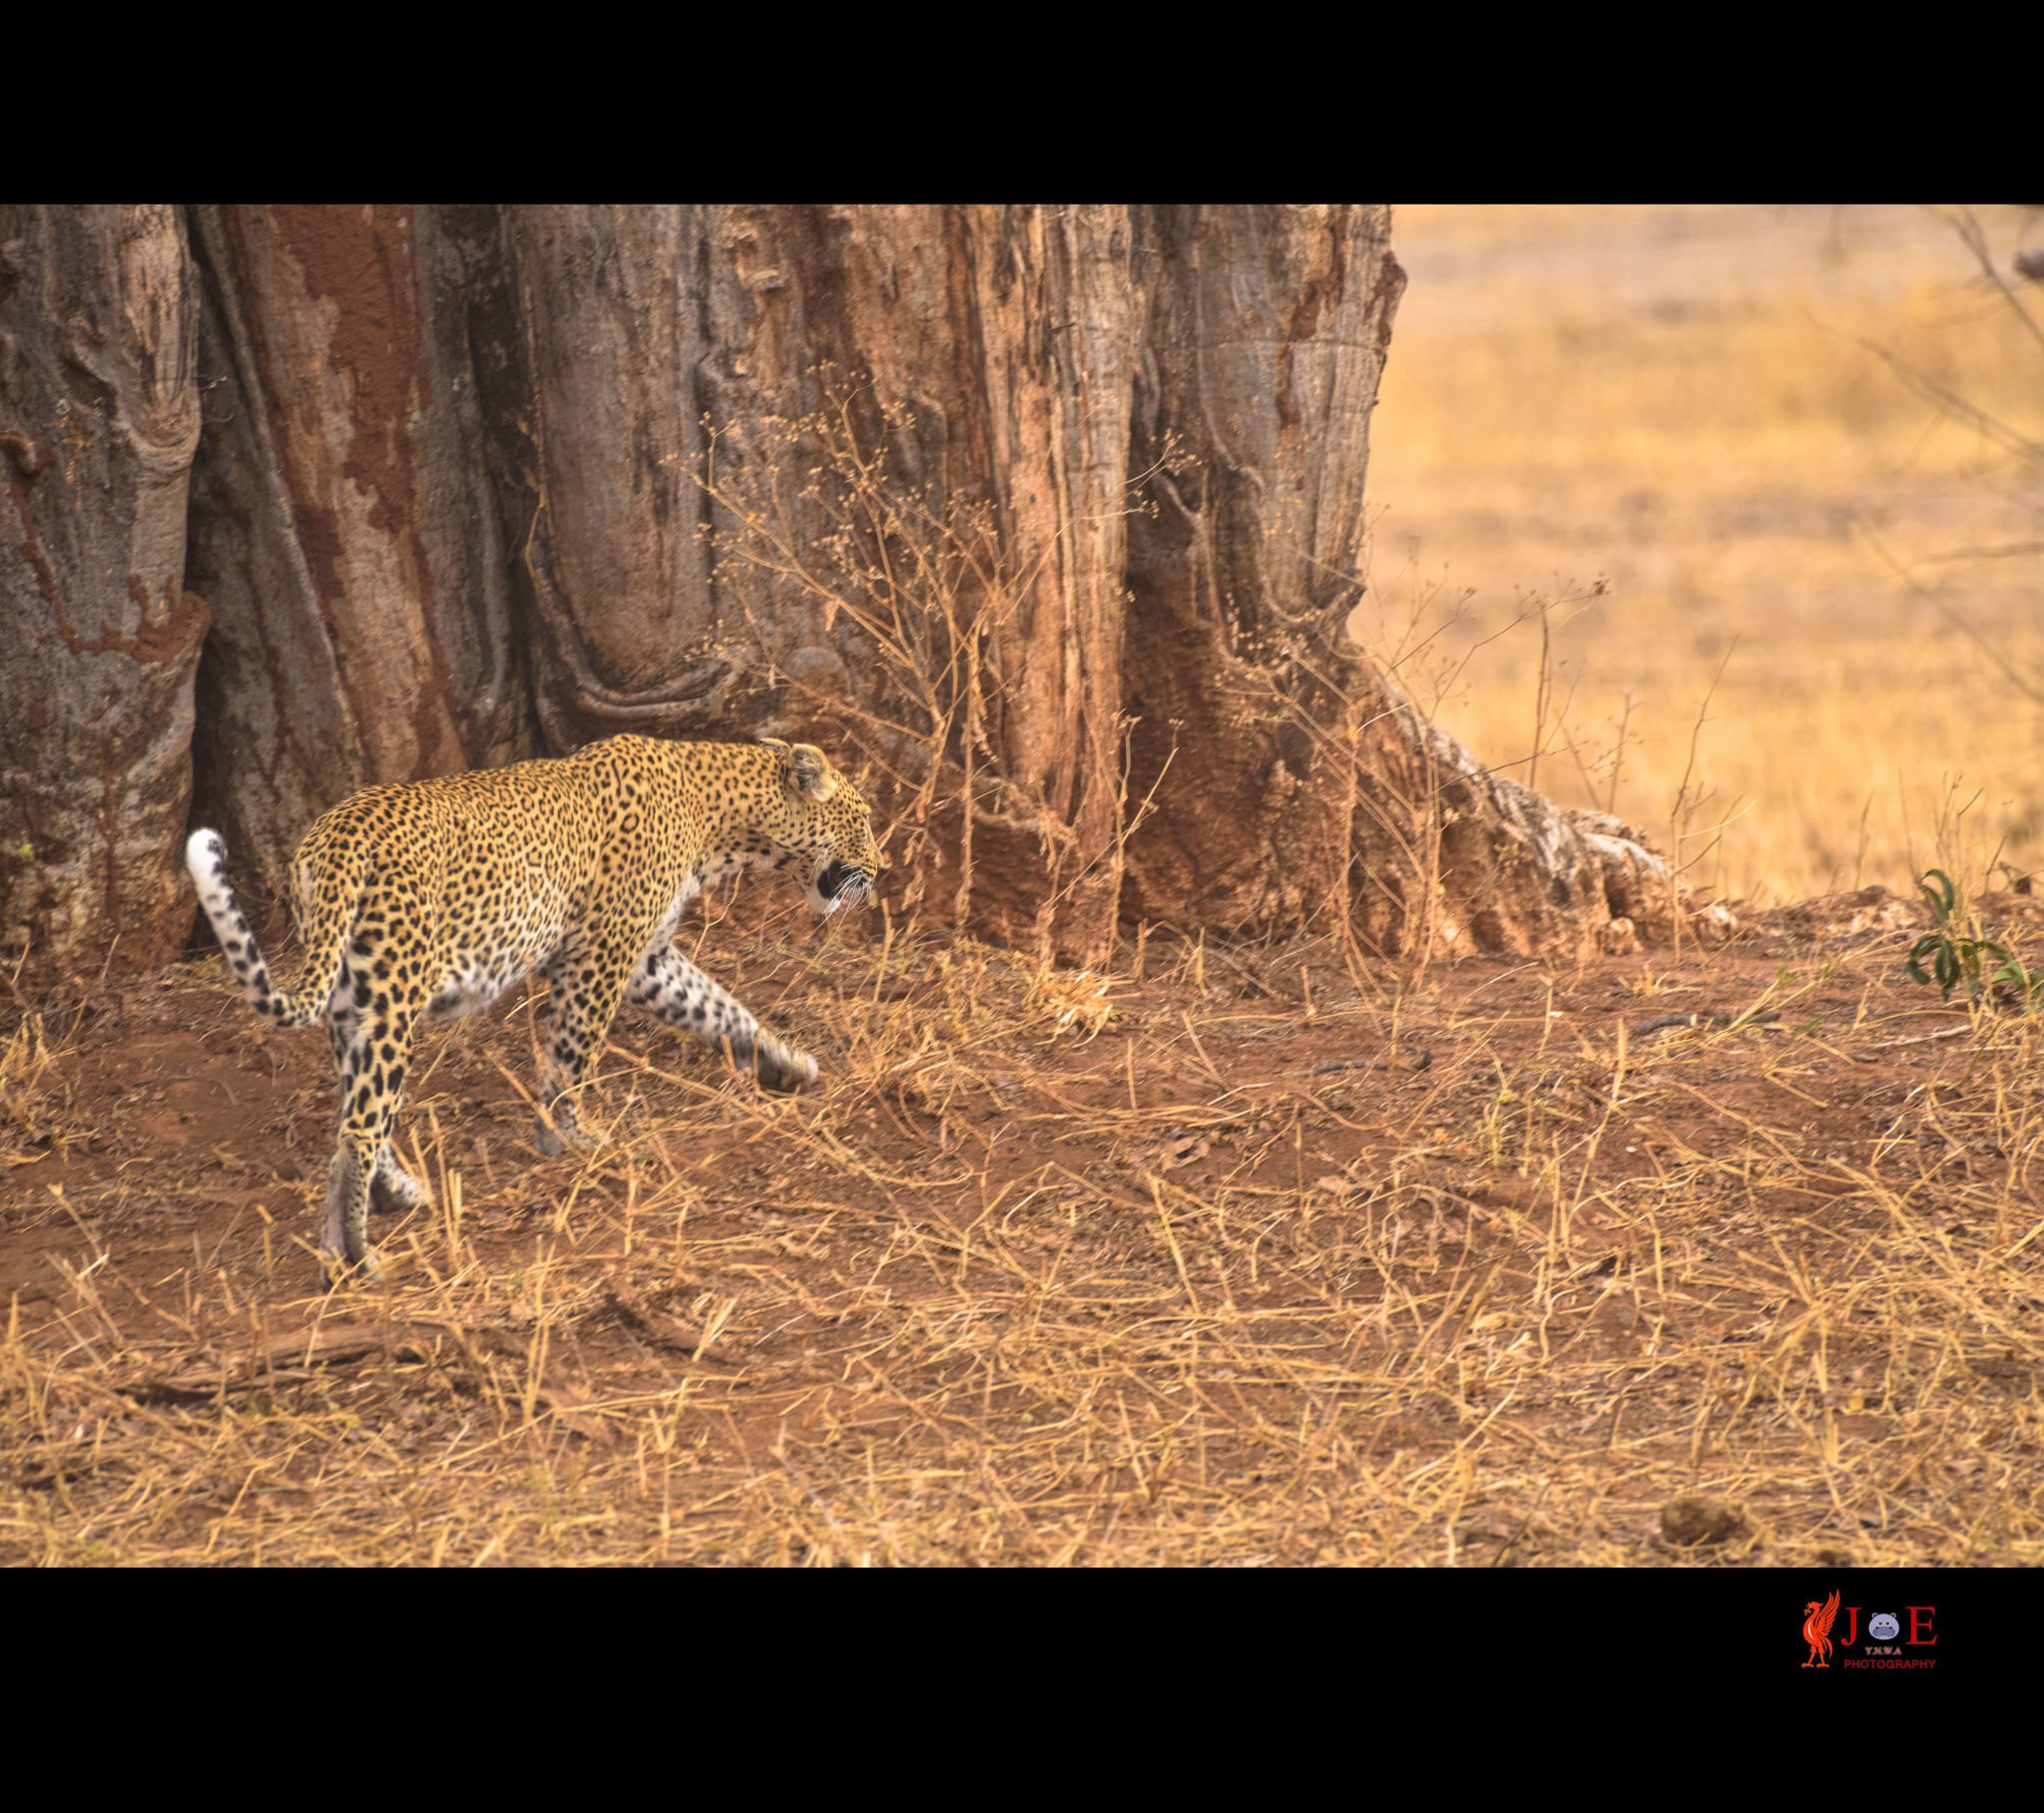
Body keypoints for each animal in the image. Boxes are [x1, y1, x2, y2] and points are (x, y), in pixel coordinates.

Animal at [180, 731, 874, 1283]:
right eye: (864, 820)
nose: (884, 868)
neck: (722, 821)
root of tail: (331, 839)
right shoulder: (604, 952)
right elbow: (572, 1052)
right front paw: (571, 1137)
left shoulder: (648, 962)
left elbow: (721, 1009)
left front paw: (785, 1063)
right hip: (397, 993)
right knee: (357, 1130)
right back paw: (358, 1256)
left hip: (355, 998)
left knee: (356, 1112)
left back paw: (371, 1218)